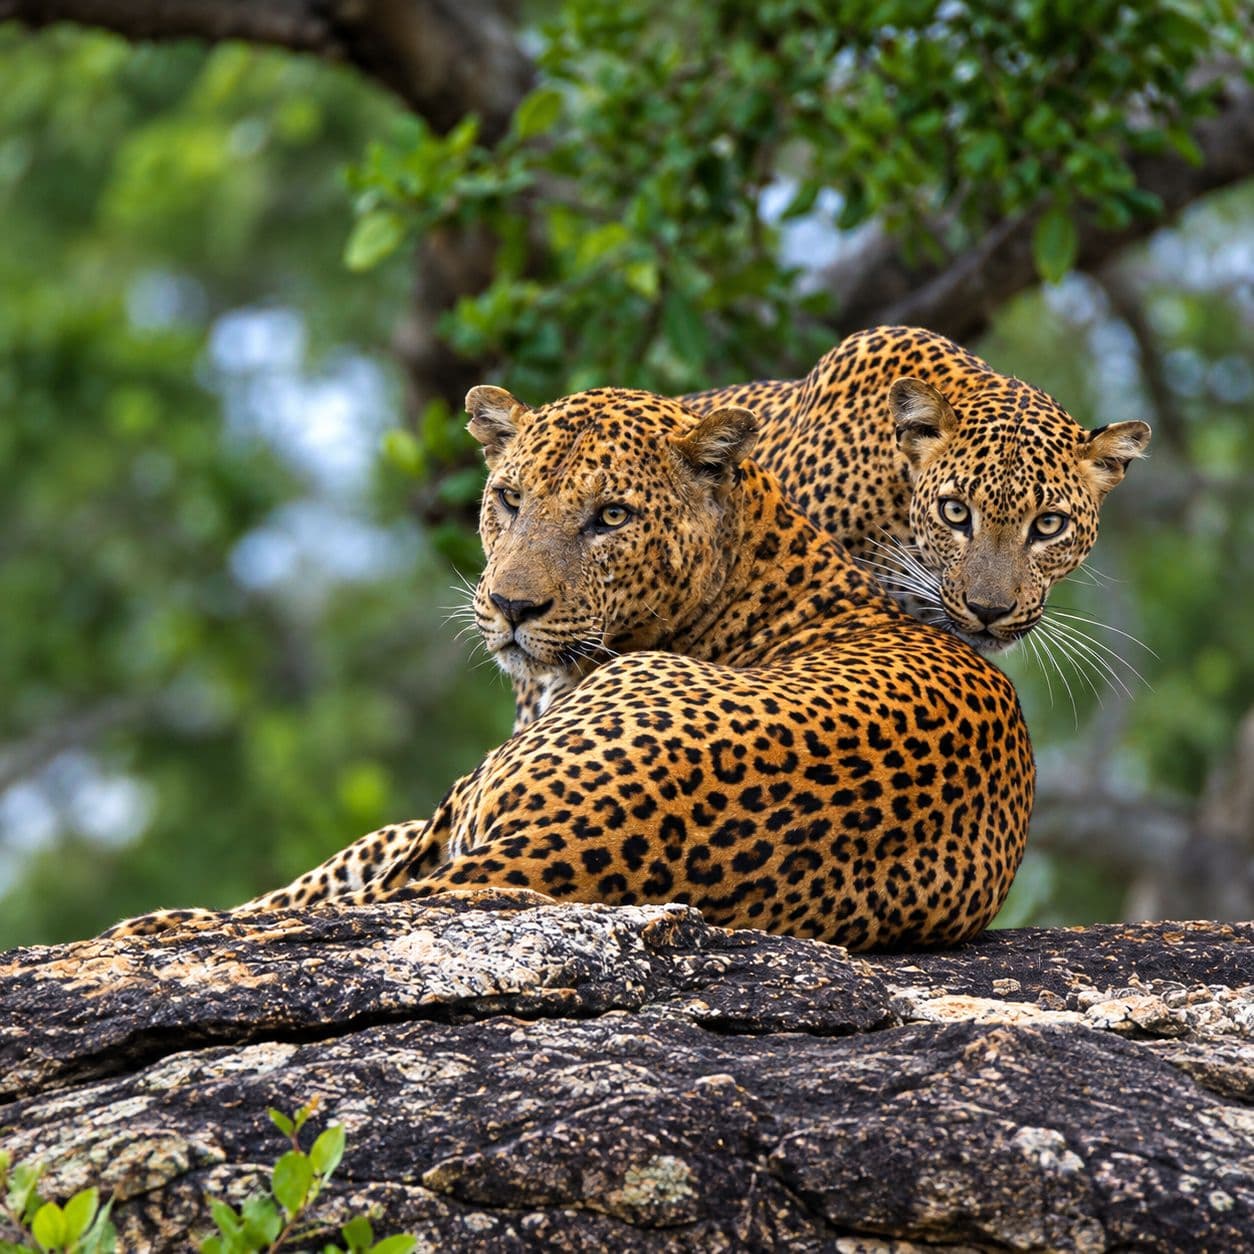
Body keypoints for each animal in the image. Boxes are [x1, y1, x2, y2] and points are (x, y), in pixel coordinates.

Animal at [107, 385, 1035, 951]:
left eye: (611, 517)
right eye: (509, 500)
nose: (512, 606)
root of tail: (581, 836)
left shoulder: (435, 822)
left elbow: (314, 886)